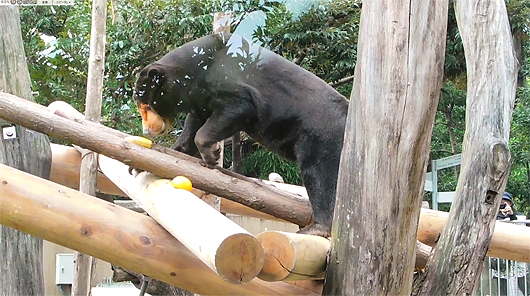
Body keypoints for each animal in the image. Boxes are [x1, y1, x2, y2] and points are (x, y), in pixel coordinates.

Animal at [132, 33, 346, 236]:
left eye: (146, 107)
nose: (147, 130)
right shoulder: (199, 103)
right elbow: (187, 140)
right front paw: (141, 165)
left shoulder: (224, 82)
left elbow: (240, 105)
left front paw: (212, 155)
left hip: (319, 134)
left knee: (318, 174)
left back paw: (317, 227)